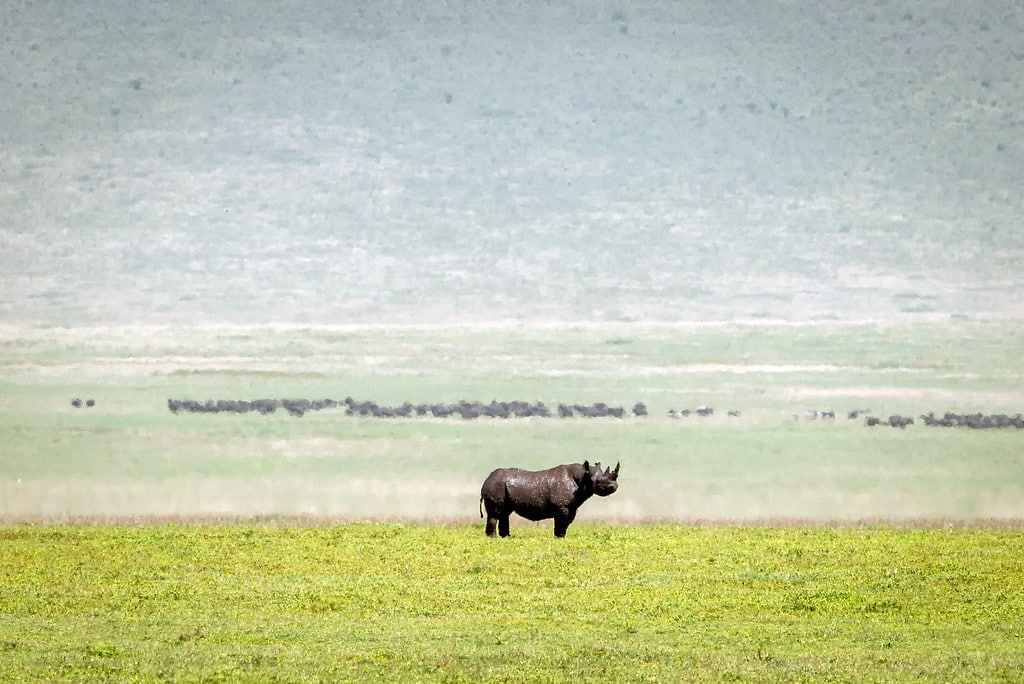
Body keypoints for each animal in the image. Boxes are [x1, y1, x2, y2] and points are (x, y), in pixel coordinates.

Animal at [479, 461, 620, 537]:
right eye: (598, 482)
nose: (614, 486)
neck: (583, 477)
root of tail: (486, 480)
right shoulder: (561, 507)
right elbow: (561, 524)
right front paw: (559, 537)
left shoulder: (571, 507)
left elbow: (565, 524)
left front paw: (561, 537)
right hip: (496, 485)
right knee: (495, 514)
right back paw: (494, 538)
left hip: (501, 486)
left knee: (504, 513)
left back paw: (506, 537)